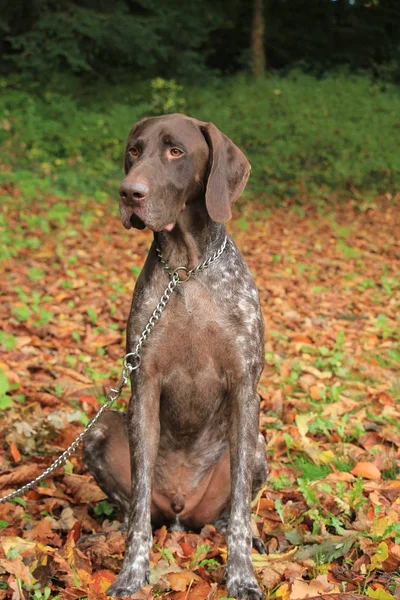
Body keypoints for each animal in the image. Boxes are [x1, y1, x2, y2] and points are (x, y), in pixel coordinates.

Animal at [82, 113, 268, 600]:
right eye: (134, 150)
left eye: (175, 152)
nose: (129, 192)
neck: (186, 269)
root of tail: (184, 513)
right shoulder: (144, 386)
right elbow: (140, 502)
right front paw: (131, 572)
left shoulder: (246, 390)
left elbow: (240, 510)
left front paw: (241, 574)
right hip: (97, 434)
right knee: (138, 511)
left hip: (258, 446)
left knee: (231, 511)